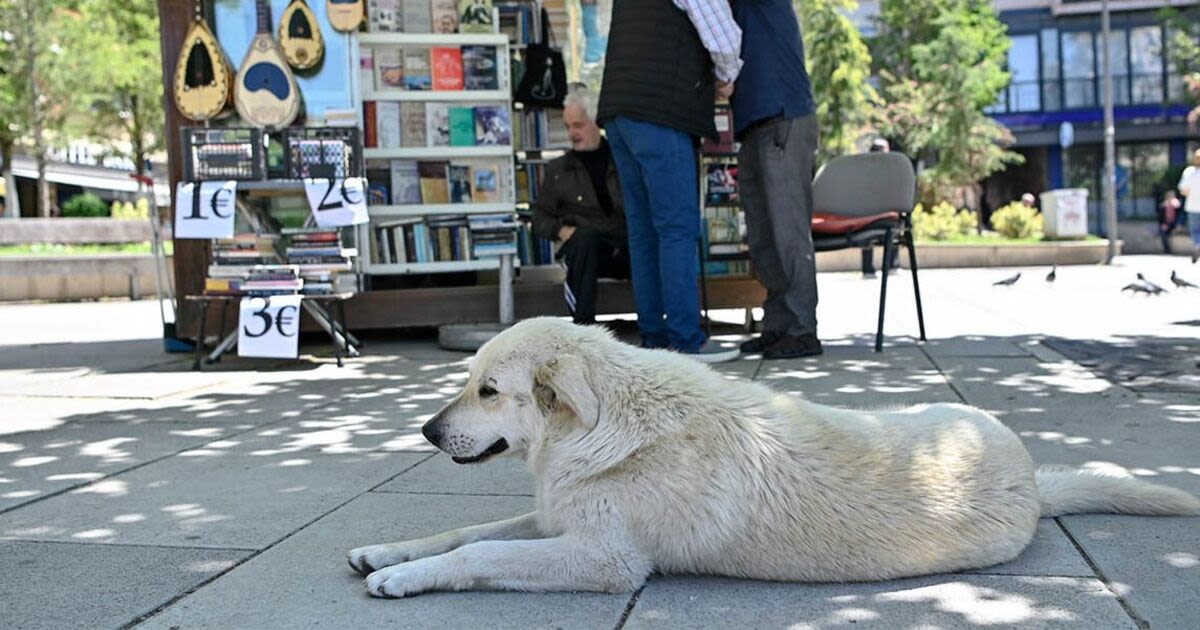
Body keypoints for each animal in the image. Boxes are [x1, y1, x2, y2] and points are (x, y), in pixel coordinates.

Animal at [350, 316, 1200, 597]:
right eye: (467, 379)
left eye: (488, 390)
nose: (426, 432)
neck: (604, 432)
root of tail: (1033, 477)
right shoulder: (561, 519)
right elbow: (463, 534)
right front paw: (388, 552)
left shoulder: (604, 560)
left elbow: (479, 552)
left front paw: (403, 579)